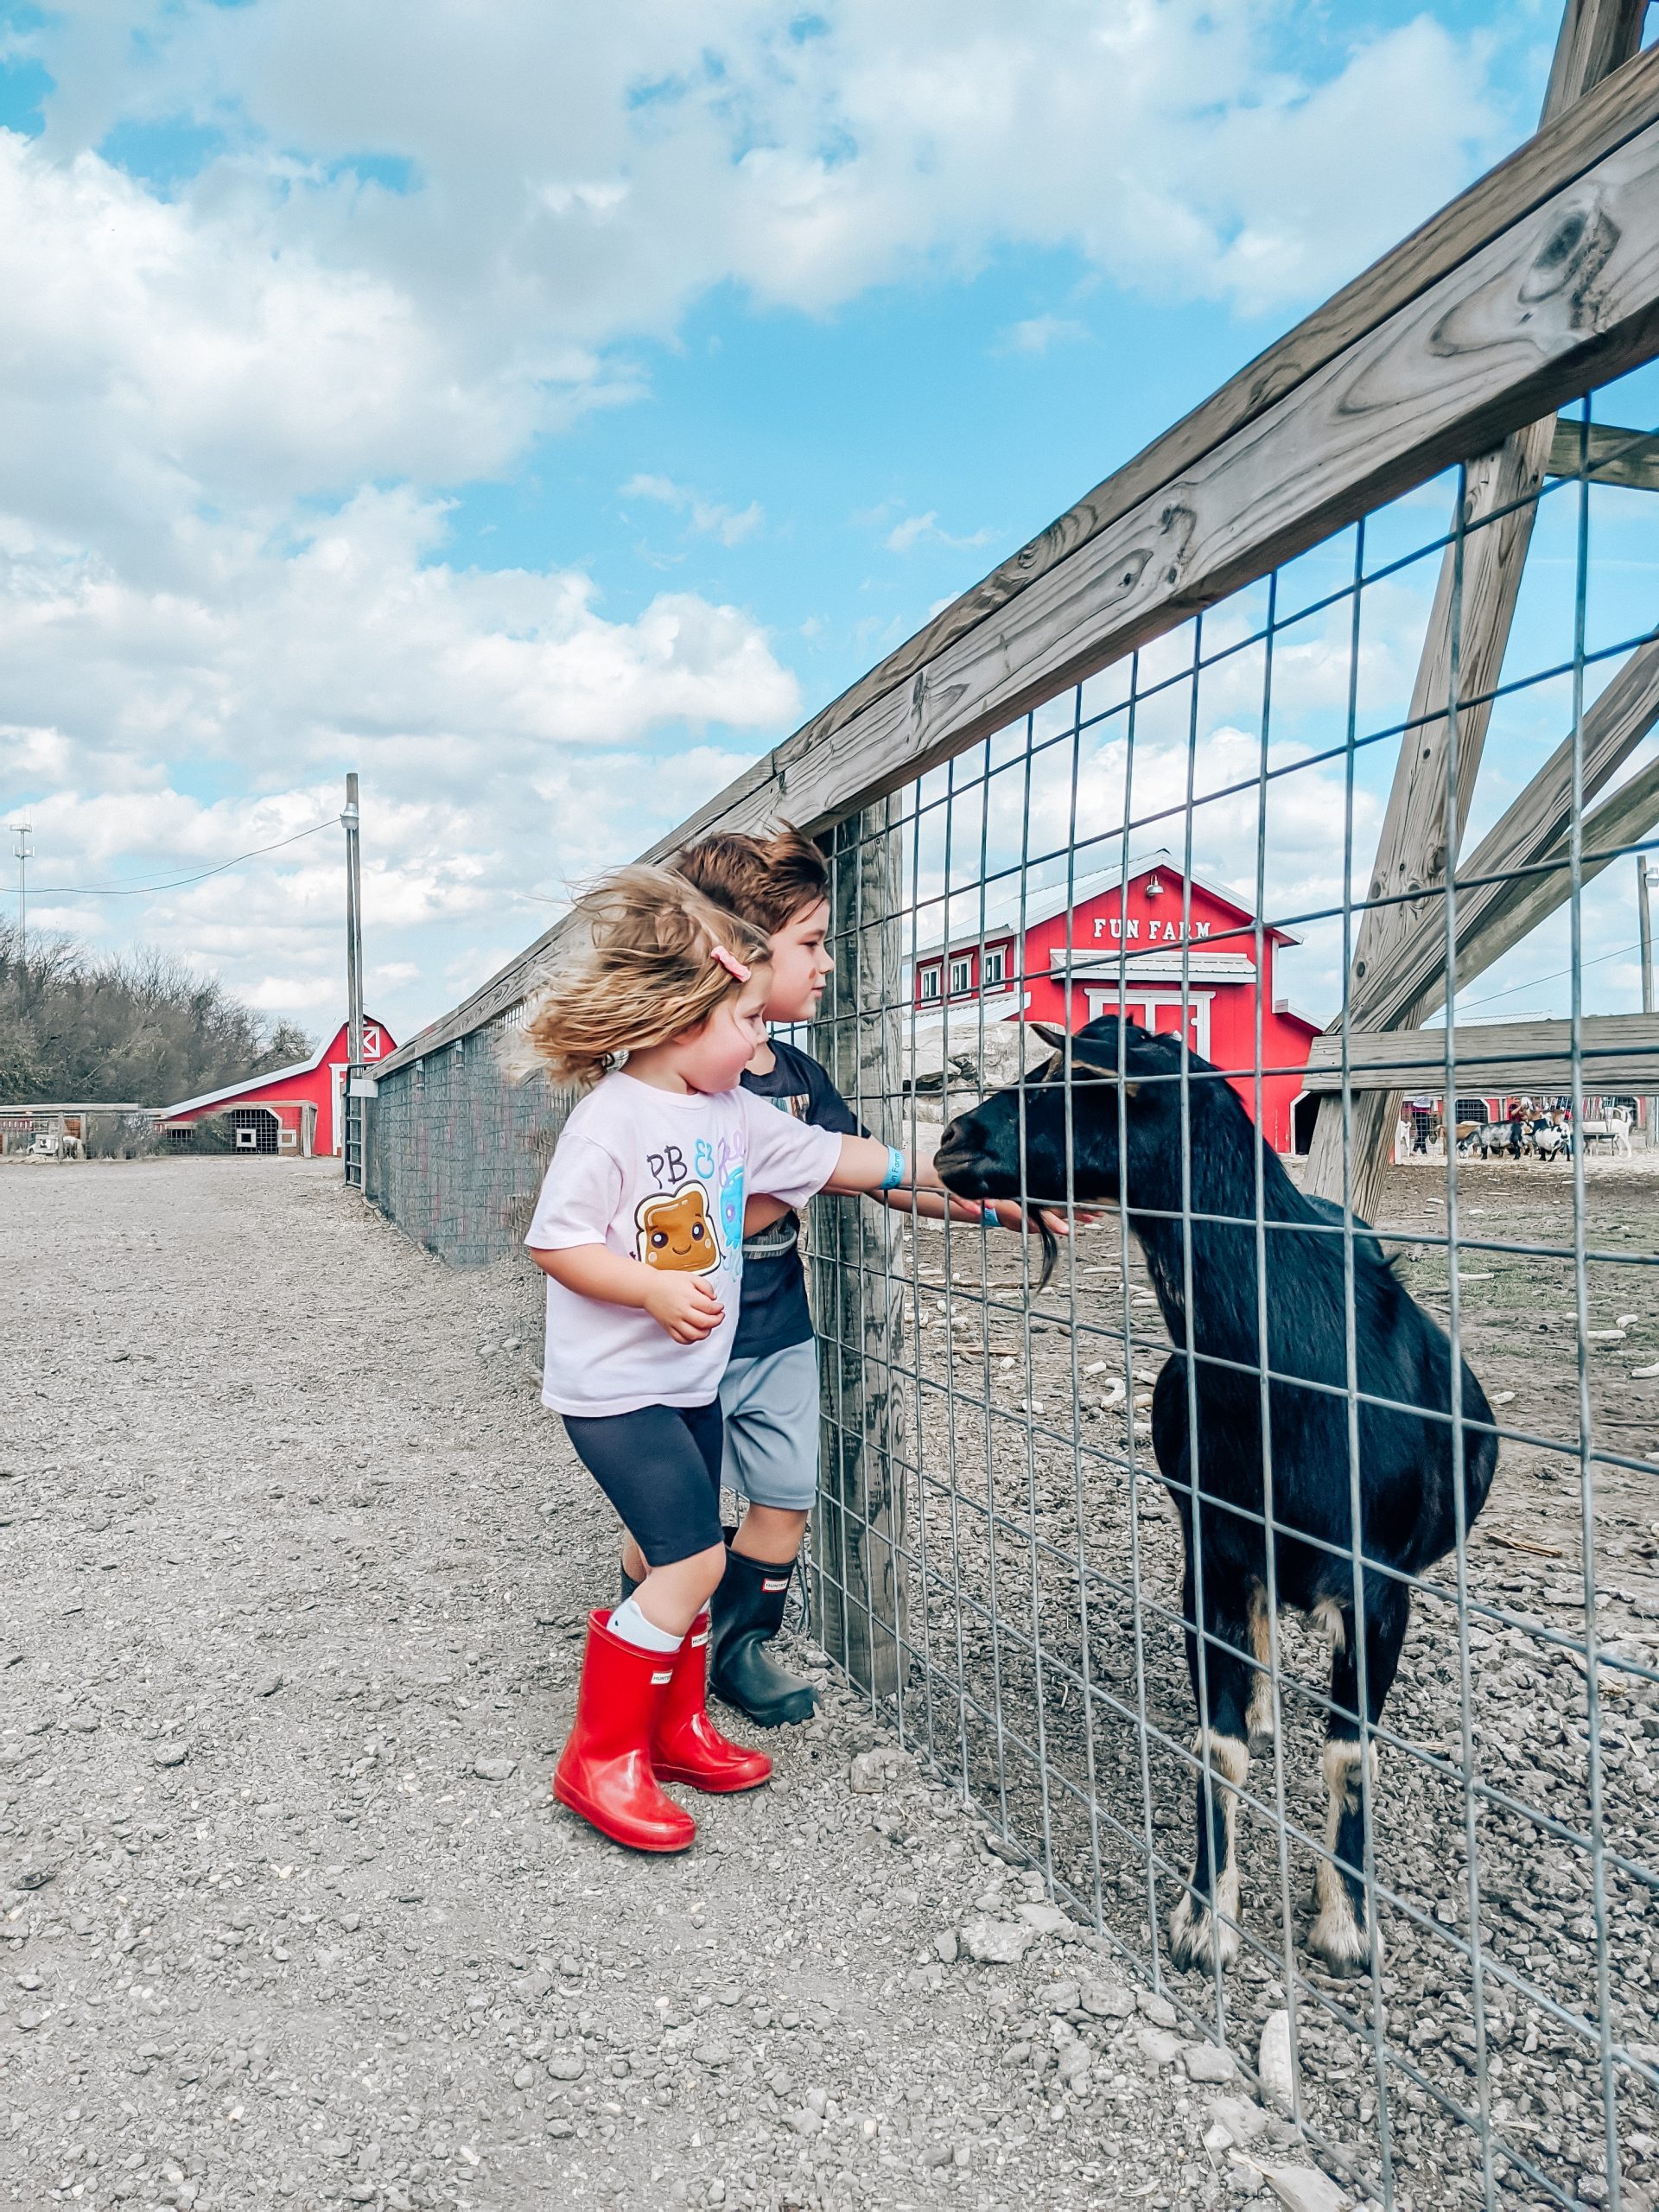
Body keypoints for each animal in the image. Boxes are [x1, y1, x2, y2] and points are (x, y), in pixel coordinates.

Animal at [938, 1013, 1503, 1973]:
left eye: (1071, 1080)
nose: (950, 1139)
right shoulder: (1212, 1557)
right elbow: (1220, 1746)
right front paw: (1205, 1921)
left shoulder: (1382, 1588)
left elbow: (1353, 1757)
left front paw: (1347, 1927)